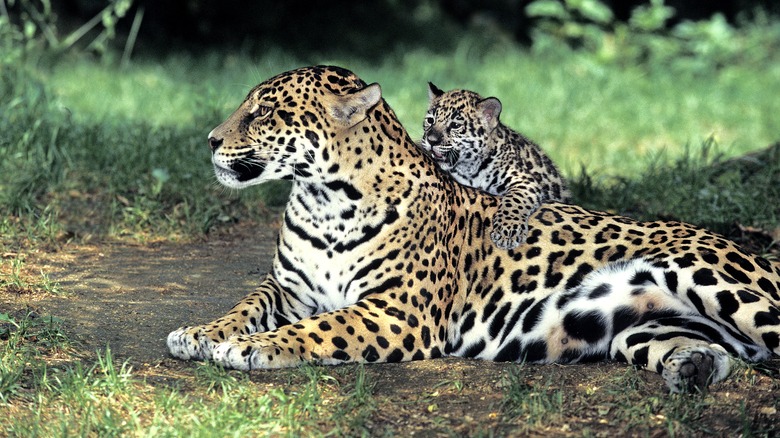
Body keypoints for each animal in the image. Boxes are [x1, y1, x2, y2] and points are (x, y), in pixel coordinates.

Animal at [421, 83, 571, 250]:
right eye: (430, 120)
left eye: (455, 125)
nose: (431, 140)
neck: (469, 169)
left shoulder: (524, 181)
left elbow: (514, 201)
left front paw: (507, 232)